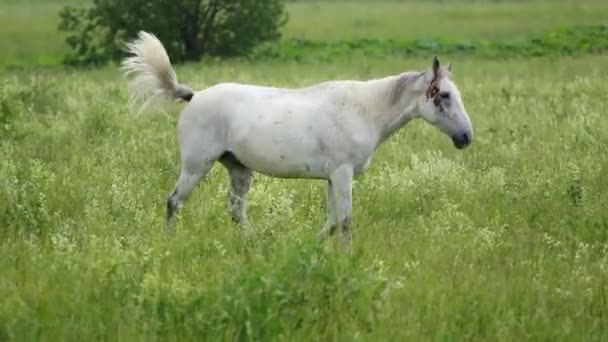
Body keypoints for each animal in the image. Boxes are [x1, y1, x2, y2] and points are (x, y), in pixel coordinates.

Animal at [121, 30, 472, 248]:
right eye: (443, 94)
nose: (466, 137)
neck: (364, 110)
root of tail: (193, 96)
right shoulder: (342, 174)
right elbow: (345, 220)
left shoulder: (332, 178)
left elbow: (332, 222)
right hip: (197, 166)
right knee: (174, 203)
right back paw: (170, 242)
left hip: (239, 169)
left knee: (236, 211)